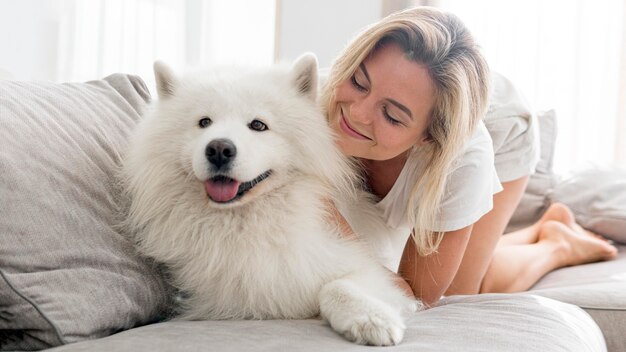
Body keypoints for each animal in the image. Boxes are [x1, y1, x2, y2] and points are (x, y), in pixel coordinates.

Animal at [120, 53, 416, 346]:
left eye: (258, 125)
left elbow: (337, 285)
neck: (247, 223)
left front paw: (372, 318)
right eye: (204, 122)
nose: (218, 149)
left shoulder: (364, 266)